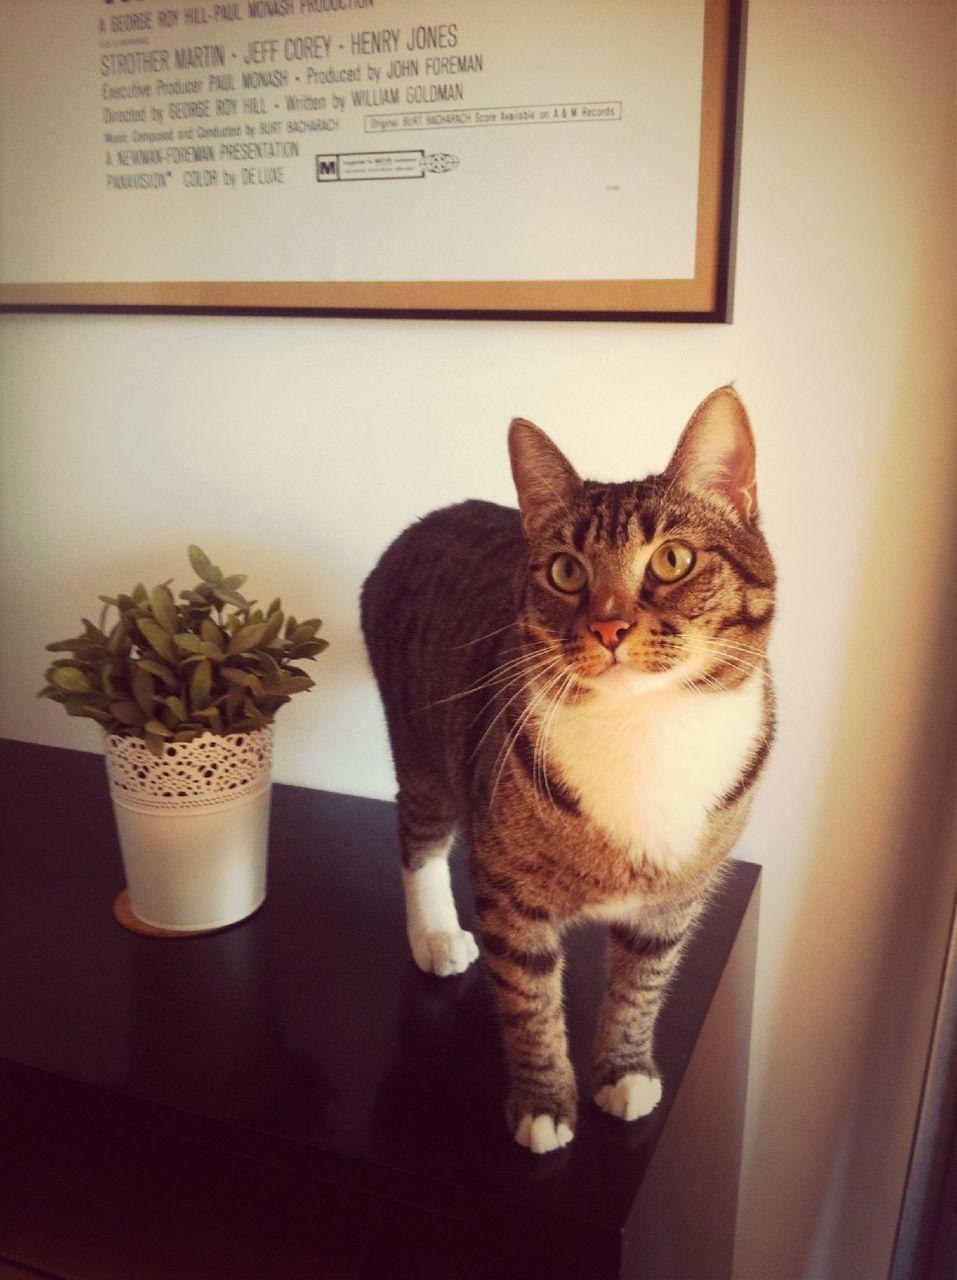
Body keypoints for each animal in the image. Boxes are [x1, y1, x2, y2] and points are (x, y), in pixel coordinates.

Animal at [360, 384, 777, 1157]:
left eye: (672, 560)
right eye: (565, 571)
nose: (609, 627)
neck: (645, 727)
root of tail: (427, 520)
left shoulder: (674, 901)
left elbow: (643, 987)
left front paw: (624, 1071)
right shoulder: (509, 893)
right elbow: (528, 1004)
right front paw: (543, 1104)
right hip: (422, 749)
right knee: (417, 834)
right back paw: (434, 934)